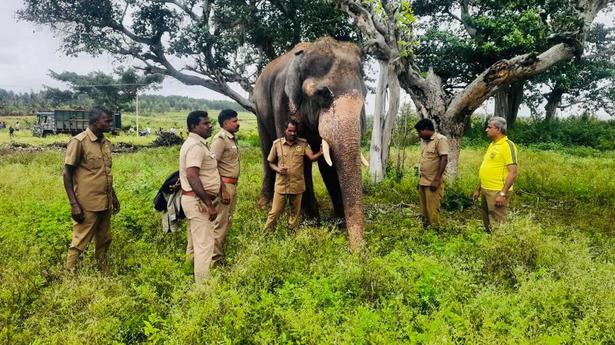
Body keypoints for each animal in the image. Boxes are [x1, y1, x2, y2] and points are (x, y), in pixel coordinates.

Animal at [253, 37, 368, 250]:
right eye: (323, 94)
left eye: (364, 95)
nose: (358, 252)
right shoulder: (282, 102)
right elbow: (302, 164)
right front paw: (313, 222)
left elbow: (327, 165)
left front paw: (338, 222)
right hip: (259, 109)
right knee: (266, 151)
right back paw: (264, 205)